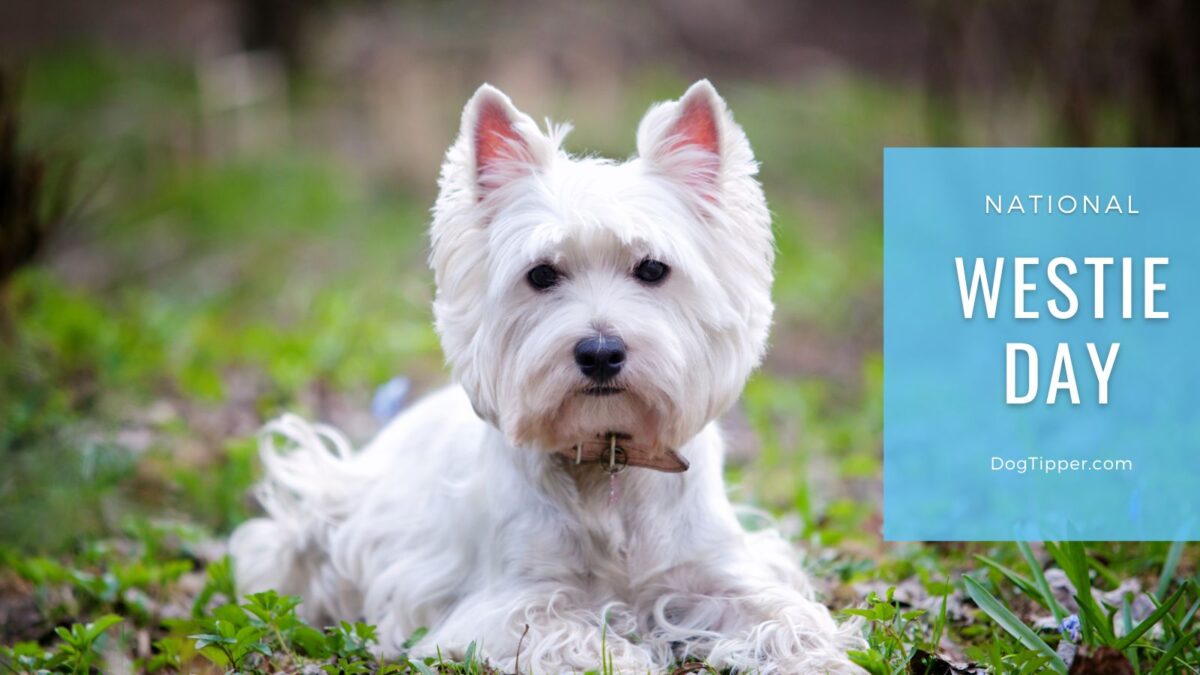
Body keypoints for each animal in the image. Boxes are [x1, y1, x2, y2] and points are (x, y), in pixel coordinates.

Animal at [229, 81, 864, 667]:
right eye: (540, 275)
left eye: (653, 269)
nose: (601, 352)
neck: (609, 460)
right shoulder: (509, 603)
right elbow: (570, 635)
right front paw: (629, 656)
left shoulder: (715, 570)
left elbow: (787, 613)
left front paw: (824, 656)